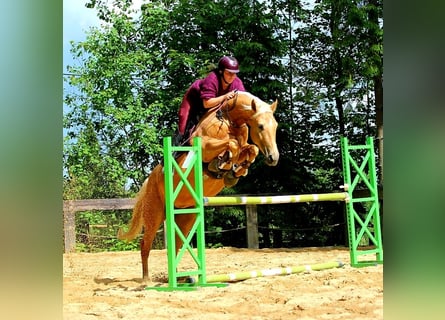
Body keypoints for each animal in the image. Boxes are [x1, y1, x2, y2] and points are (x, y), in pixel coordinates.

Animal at [118, 91, 278, 282]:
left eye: (276, 127)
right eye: (260, 126)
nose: (273, 158)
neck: (230, 120)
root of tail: (148, 181)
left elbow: (250, 149)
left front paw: (236, 171)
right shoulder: (205, 146)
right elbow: (232, 145)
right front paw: (222, 164)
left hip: (186, 217)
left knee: (176, 246)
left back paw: (180, 277)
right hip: (154, 215)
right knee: (145, 245)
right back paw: (147, 280)